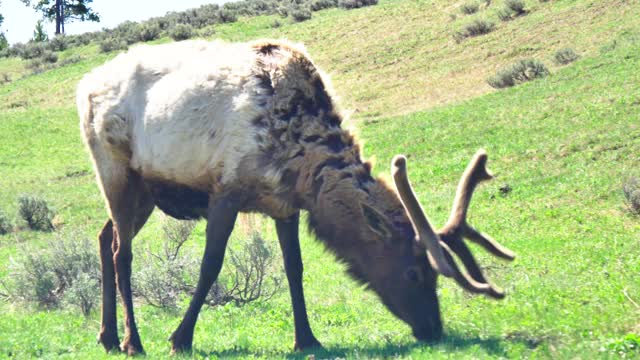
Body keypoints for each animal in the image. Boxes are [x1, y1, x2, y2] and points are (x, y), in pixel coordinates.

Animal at [77, 38, 516, 354]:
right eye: (414, 272)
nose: (434, 329)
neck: (302, 163)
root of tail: (84, 84)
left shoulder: (283, 205)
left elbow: (294, 269)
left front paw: (306, 338)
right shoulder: (226, 189)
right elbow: (210, 266)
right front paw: (180, 338)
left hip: (146, 190)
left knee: (103, 236)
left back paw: (107, 336)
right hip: (115, 169)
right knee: (121, 252)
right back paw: (133, 341)